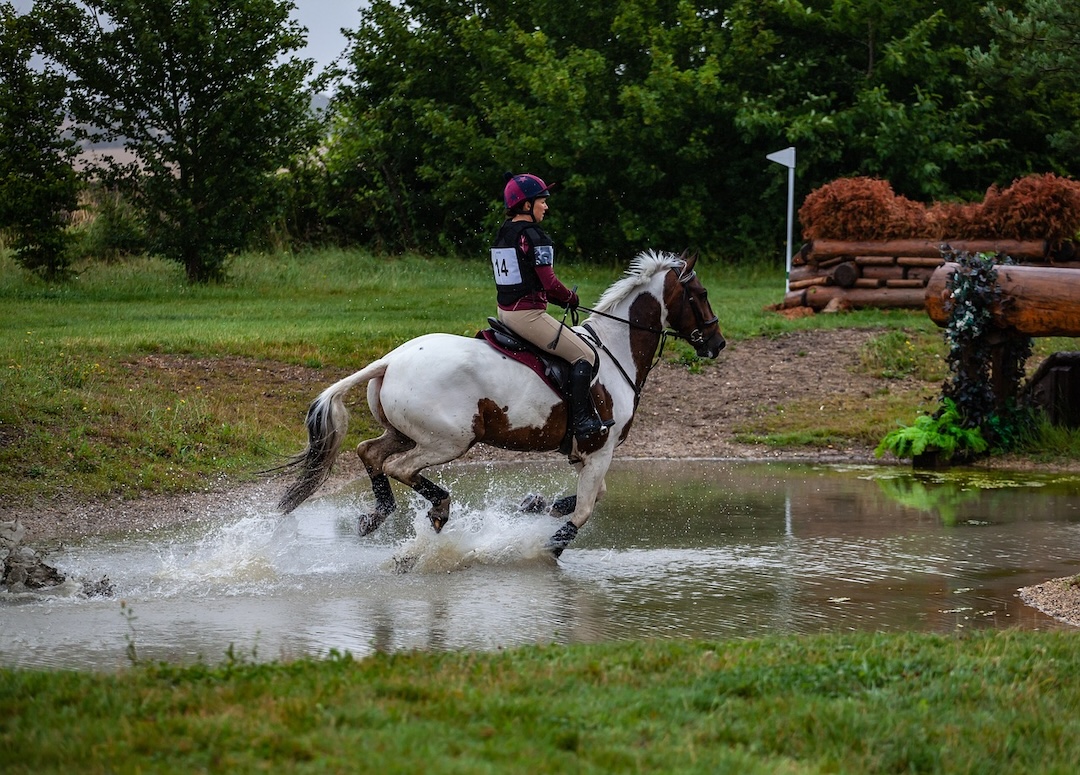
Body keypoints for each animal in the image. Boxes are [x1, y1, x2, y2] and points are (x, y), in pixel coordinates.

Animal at [278, 251, 725, 556]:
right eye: (701, 294)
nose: (717, 344)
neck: (616, 352)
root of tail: (391, 360)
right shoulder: (600, 448)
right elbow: (584, 508)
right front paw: (549, 548)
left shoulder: (584, 453)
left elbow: (588, 497)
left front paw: (535, 504)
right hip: (450, 440)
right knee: (398, 467)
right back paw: (438, 509)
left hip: (405, 432)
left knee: (370, 452)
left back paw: (375, 516)